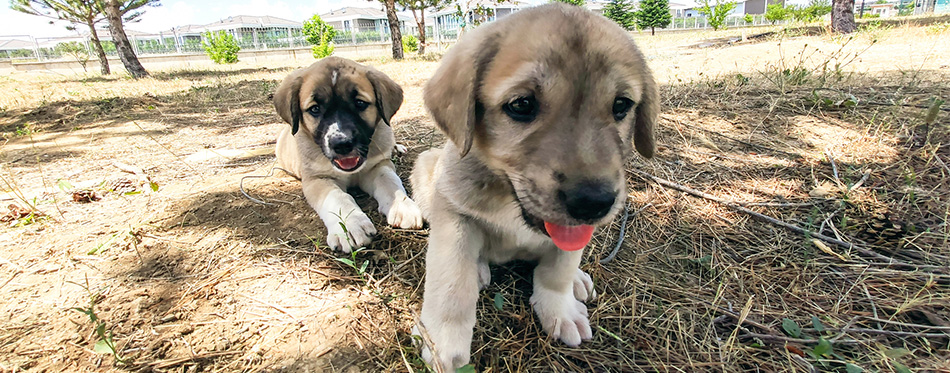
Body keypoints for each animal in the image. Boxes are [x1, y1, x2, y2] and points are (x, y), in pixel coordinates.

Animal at [276, 56, 424, 253]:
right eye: (315, 109)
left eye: (360, 104)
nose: (342, 144)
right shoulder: (317, 178)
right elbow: (337, 197)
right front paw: (350, 225)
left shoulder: (378, 165)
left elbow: (390, 181)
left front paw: (403, 205)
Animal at [410, 3, 660, 370]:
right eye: (521, 105)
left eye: (621, 105)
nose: (594, 202)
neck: (507, 199)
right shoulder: (452, 212)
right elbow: (452, 282)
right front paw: (442, 341)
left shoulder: (573, 236)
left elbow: (558, 269)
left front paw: (559, 307)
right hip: (426, 170)